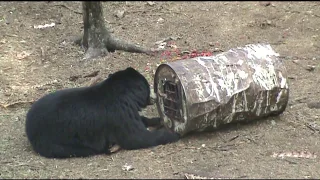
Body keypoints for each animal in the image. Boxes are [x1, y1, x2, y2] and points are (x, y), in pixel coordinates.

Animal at [25, 67, 180, 158]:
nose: (153, 97)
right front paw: (173, 134)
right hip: (53, 140)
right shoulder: (118, 113)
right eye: (147, 87)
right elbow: (137, 137)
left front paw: (158, 120)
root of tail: (28, 127)